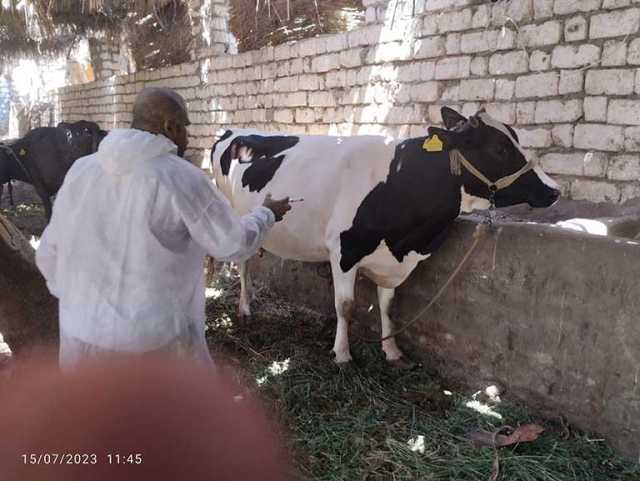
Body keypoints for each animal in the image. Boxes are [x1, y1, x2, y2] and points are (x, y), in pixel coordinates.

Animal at [211, 107, 560, 364]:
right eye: (499, 148)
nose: (554, 190)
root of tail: (233, 131)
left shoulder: (392, 262)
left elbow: (389, 306)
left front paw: (391, 350)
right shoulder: (344, 250)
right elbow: (345, 305)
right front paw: (342, 354)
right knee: (243, 264)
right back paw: (244, 309)